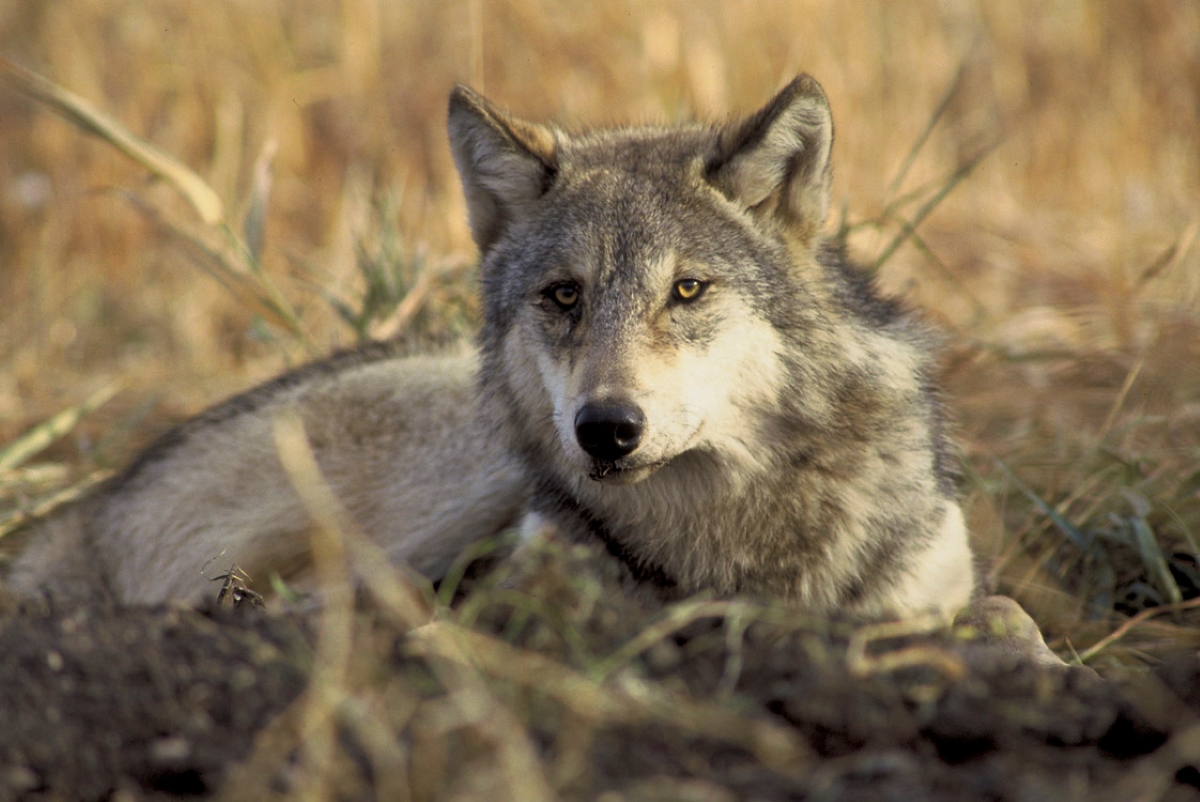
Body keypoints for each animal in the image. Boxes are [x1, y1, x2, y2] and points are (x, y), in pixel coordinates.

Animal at [4, 75, 979, 619]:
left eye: (687, 290)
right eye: (564, 296)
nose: (606, 430)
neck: (731, 540)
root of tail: (93, 506)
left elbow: (994, 615)